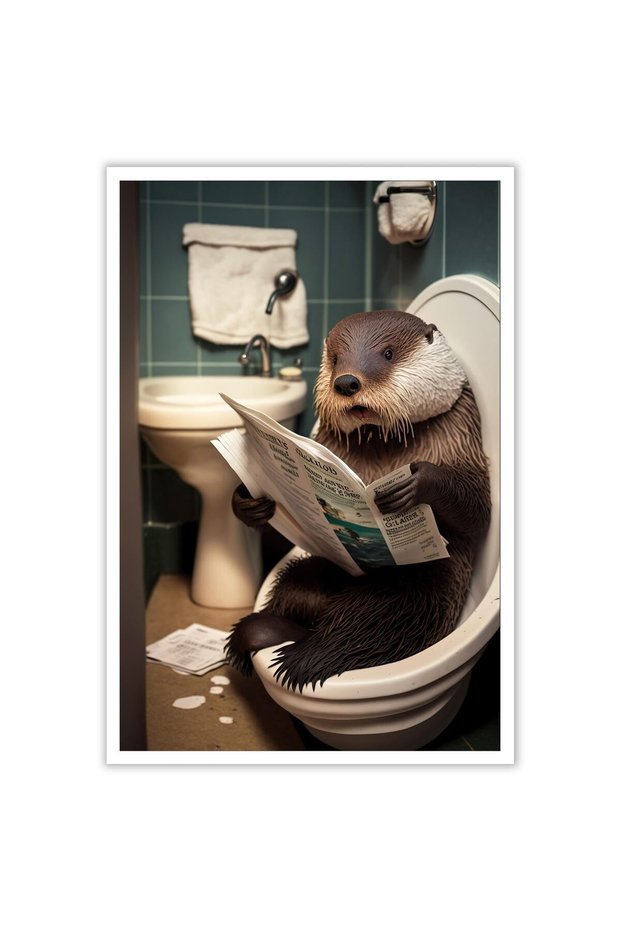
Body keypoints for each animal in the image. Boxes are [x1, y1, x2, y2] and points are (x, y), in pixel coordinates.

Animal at [226, 310, 491, 691]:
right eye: (336, 358)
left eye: (388, 353)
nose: (347, 382)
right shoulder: (324, 441)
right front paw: (247, 501)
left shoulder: (460, 428)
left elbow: (479, 510)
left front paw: (416, 482)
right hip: (319, 571)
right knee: (295, 588)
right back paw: (261, 632)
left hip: (414, 592)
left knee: (368, 625)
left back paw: (301, 658)